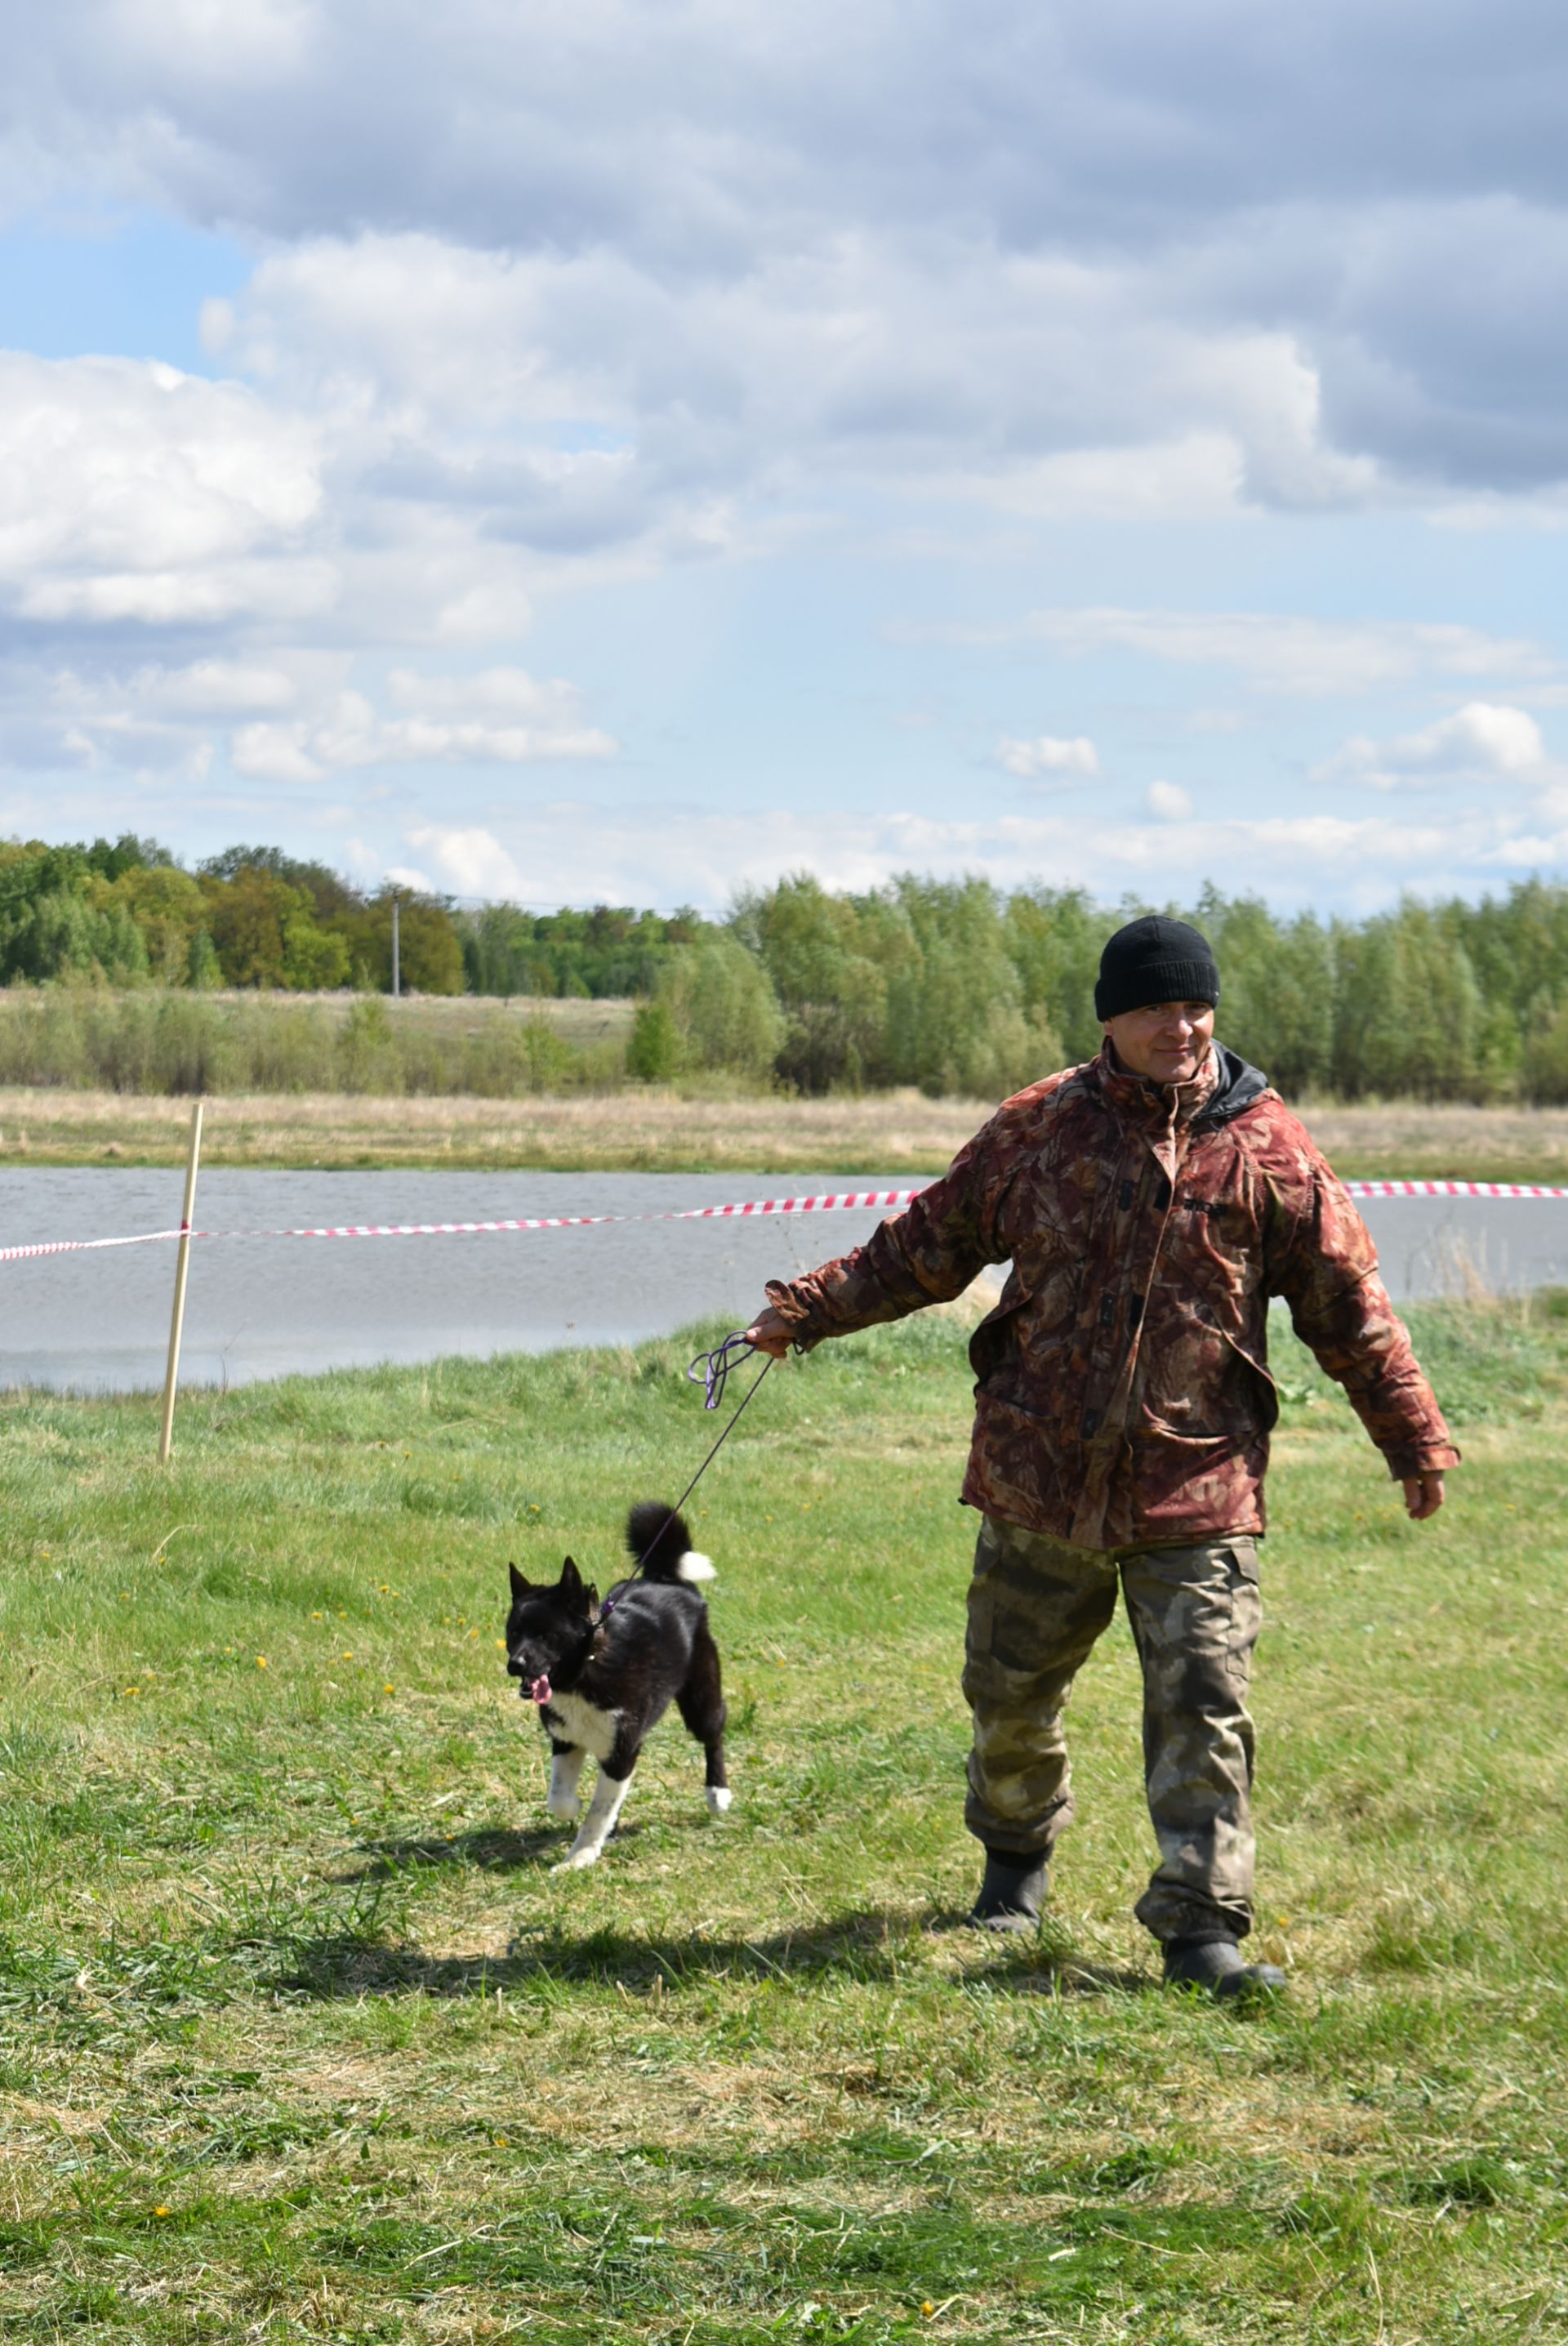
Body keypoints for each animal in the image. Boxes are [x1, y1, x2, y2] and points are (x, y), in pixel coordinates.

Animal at [504, 1501, 731, 1867]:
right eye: (514, 1633)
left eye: (548, 1635)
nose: (515, 1665)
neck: (587, 1667)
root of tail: (667, 1578)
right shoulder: (567, 1740)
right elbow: (560, 1797)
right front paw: (576, 1809)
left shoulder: (622, 1752)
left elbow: (598, 1812)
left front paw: (579, 1858)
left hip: (701, 1698)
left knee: (714, 1736)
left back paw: (718, 1792)